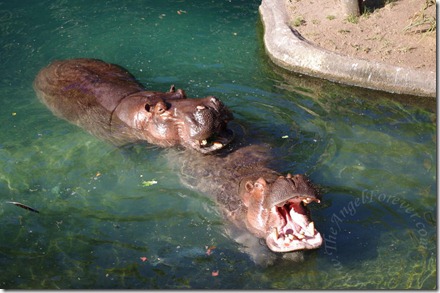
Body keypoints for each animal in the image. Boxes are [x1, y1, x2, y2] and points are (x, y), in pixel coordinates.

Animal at [168, 144, 324, 264]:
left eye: (287, 175)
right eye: (259, 186)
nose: (291, 180)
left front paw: (295, 256)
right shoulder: (231, 223)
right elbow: (247, 238)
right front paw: (265, 259)